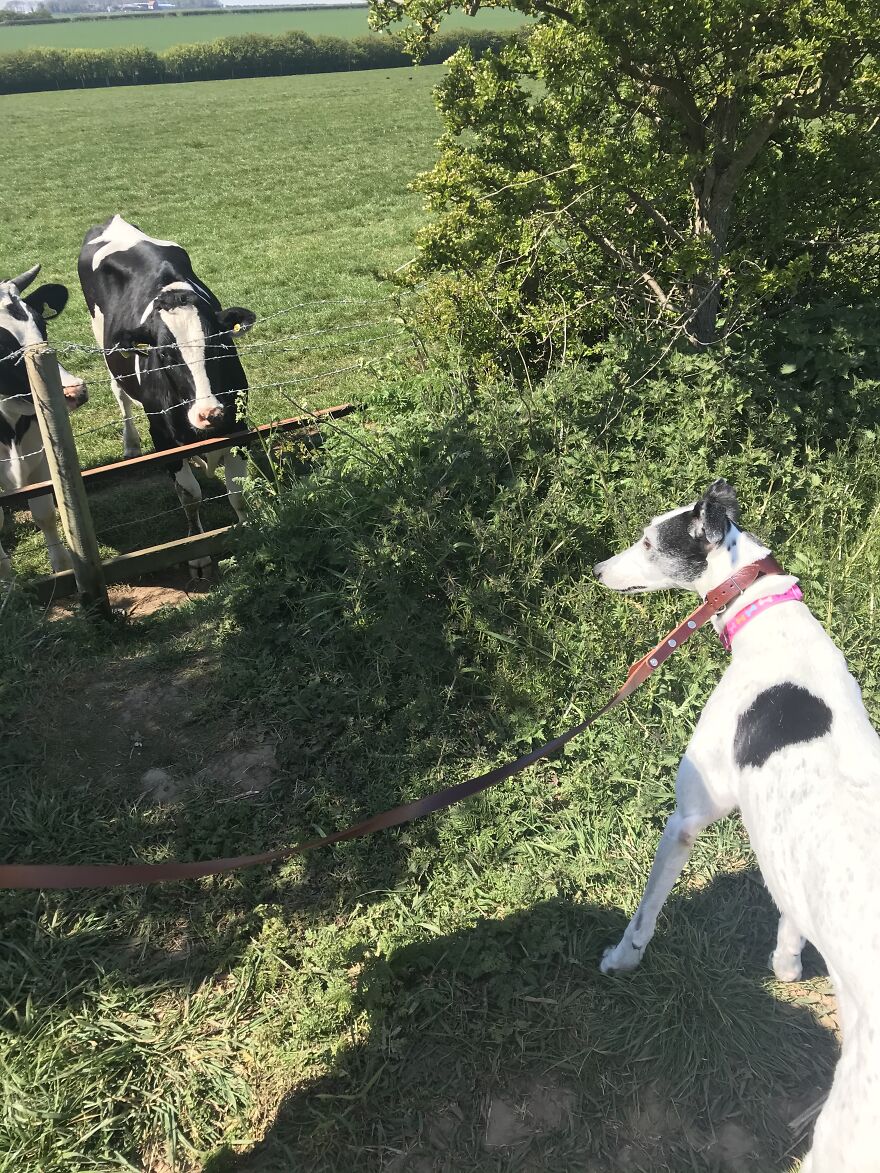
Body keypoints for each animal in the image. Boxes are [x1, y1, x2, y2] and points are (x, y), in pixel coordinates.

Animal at [0, 266, 88, 577]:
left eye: (42, 325)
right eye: (1, 343)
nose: (73, 391)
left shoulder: (40, 459)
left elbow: (45, 513)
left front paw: (62, 569)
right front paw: (7, 579)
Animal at [78, 216, 256, 572]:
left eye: (220, 345)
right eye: (165, 354)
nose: (210, 413)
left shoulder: (238, 425)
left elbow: (238, 492)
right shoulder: (162, 437)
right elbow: (190, 497)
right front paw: (198, 553)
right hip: (106, 353)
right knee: (120, 395)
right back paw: (131, 446)